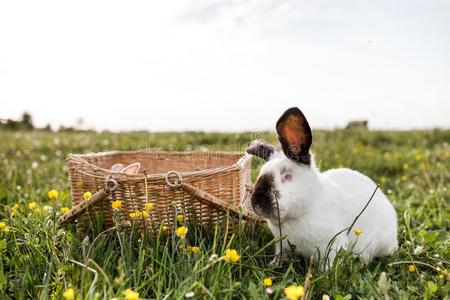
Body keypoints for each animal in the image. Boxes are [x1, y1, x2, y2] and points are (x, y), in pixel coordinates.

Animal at [248, 107, 400, 268]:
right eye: (260, 173)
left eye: (287, 176)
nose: (257, 202)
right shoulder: (282, 245)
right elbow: (280, 255)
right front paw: (274, 264)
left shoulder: (331, 244)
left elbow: (328, 263)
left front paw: (324, 272)